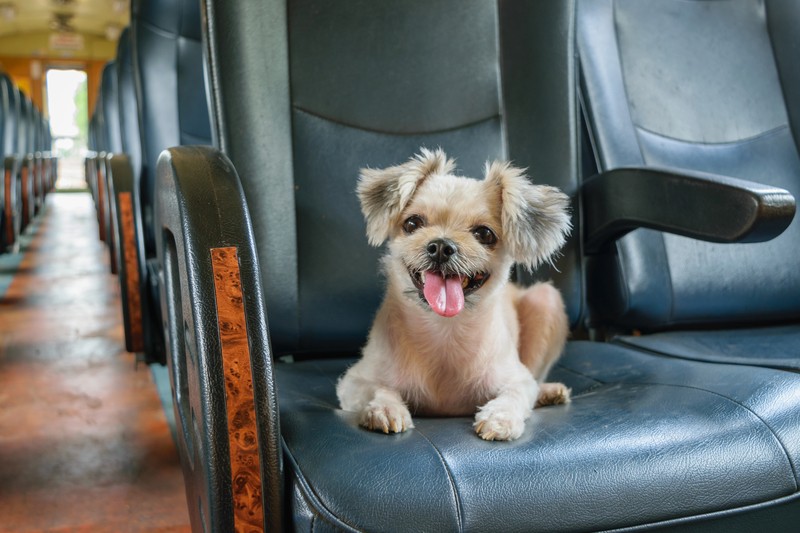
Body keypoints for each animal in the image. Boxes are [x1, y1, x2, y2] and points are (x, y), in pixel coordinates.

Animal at [334, 148, 572, 438]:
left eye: (485, 234)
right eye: (412, 223)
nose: (440, 246)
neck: (444, 330)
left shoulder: (518, 379)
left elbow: (516, 394)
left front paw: (500, 417)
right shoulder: (354, 382)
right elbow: (379, 388)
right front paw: (385, 408)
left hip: (545, 299)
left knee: (537, 379)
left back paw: (547, 391)